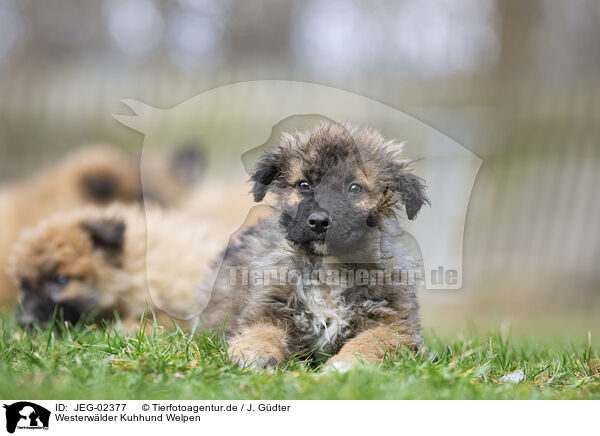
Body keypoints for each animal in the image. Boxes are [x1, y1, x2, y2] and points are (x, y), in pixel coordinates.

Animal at [203, 122, 432, 368]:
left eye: (354, 188)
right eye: (303, 184)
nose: (319, 222)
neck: (327, 267)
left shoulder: (396, 325)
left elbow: (369, 342)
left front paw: (344, 365)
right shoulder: (266, 310)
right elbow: (261, 332)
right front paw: (254, 353)